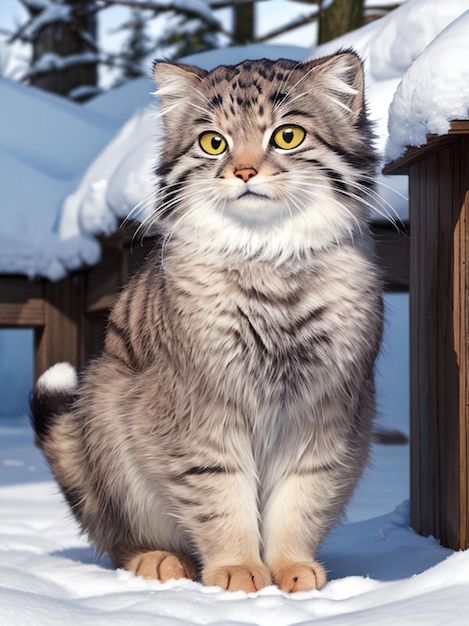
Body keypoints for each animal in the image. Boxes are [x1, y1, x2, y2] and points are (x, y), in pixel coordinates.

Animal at [32, 51, 384, 592]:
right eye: (213, 142)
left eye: (287, 136)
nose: (243, 171)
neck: (270, 267)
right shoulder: (201, 408)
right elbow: (220, 496)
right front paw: (238, 569)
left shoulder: (325, 413)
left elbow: (300, 498)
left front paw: (291, 569)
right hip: (107, 410)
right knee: (119, 539)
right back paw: (159, 561)